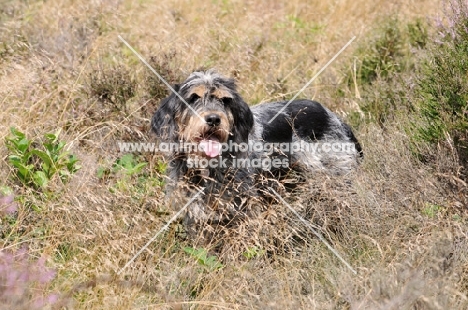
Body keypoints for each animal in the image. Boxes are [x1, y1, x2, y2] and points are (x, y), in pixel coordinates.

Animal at [151, 69, 362, 240]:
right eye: (193, 98)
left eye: (225, 100)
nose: (213, 119)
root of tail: (335, 117)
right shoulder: (196, 213)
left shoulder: (244, 208)